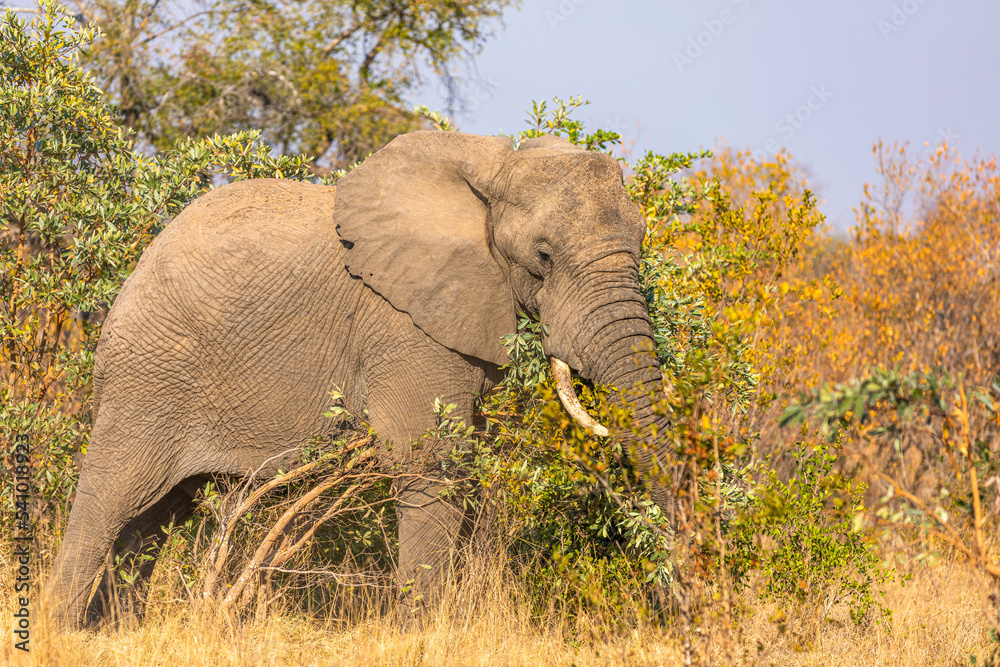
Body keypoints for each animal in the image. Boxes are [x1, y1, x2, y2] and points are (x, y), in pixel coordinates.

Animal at [44, 130, 672, 629]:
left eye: (643, 243)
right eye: (542, 256)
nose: (674, 592)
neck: (493, 169)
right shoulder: (402, 322)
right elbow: (430, 458)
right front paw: (418, 633)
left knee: (155, 515)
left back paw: (114, 630)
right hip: (148, 374)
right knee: (111, 497)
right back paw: (61, 631)